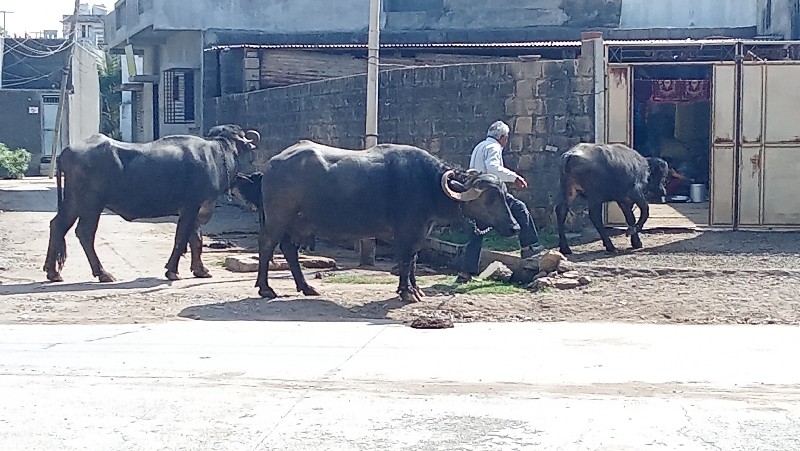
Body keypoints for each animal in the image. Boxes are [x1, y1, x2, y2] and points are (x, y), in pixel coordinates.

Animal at [42, 124, 260, 282]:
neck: (216, 154)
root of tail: (66, 152)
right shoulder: (190, 206)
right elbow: (181, 238)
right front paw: (172, 270)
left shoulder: (197, 208)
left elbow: (196, 240)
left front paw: (201, 270)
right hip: (91, 204)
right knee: (85, 233)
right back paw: (103, 273)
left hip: (73, 202)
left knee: (57, 225)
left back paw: (53, 272)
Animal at [253, 141, 520, 304]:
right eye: (490, 198)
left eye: (504, 194)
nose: (515, 227)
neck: (429, 185)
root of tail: (273, 164)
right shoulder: (406, 231)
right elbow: (405, 260)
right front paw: (407, 292)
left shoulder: (420, 231)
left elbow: (413, 260)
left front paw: (416, 289)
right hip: (278, 217)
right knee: (267, 245)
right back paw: (266, 288)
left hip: (300, 224)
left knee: (289, 249)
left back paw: (307, 287)